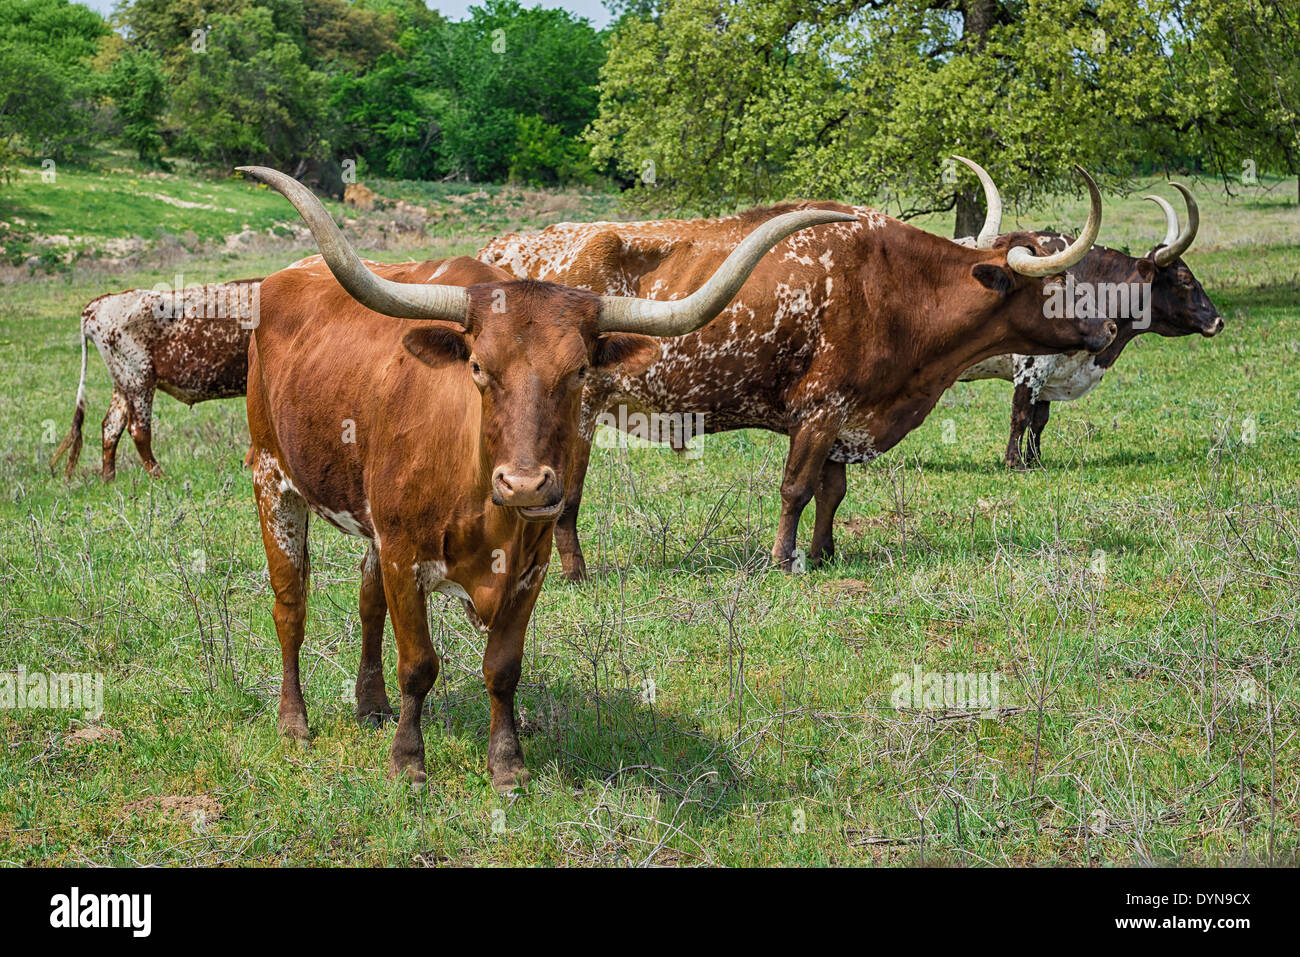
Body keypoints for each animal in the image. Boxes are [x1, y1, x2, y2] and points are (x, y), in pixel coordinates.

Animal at [52, 280, 260, 481]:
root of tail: (96, 305)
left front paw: (248, 463)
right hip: (139, 381)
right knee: (138, 430)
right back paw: (159, 476)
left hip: (122, 385)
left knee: (111, 427)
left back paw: (109, 479)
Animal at [241, 166, 852, 790]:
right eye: (478, 367)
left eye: (580, 370)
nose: (526, 485)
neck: (481, 501)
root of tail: (286, 276)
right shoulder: (405, 553)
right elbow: (418, 665)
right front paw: (408, 761)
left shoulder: (524, 566)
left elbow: (503, 668)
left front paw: (507, 764)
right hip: (272, 477)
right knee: (290, 608)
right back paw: (295, 721)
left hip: (368, 525)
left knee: (368, 603)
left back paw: (371, 706)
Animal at [483, 158, 1112, 574]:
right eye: (1055, 285)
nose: (1106, 328)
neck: (896, 286)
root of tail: (503, 248)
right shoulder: (820, 410)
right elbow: (796, 488)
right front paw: (785, 560)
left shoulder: (845, 418)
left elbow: (833, 491)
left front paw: (824, 553)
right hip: (577, 412)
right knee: (564, 498)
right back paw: (573, 574)